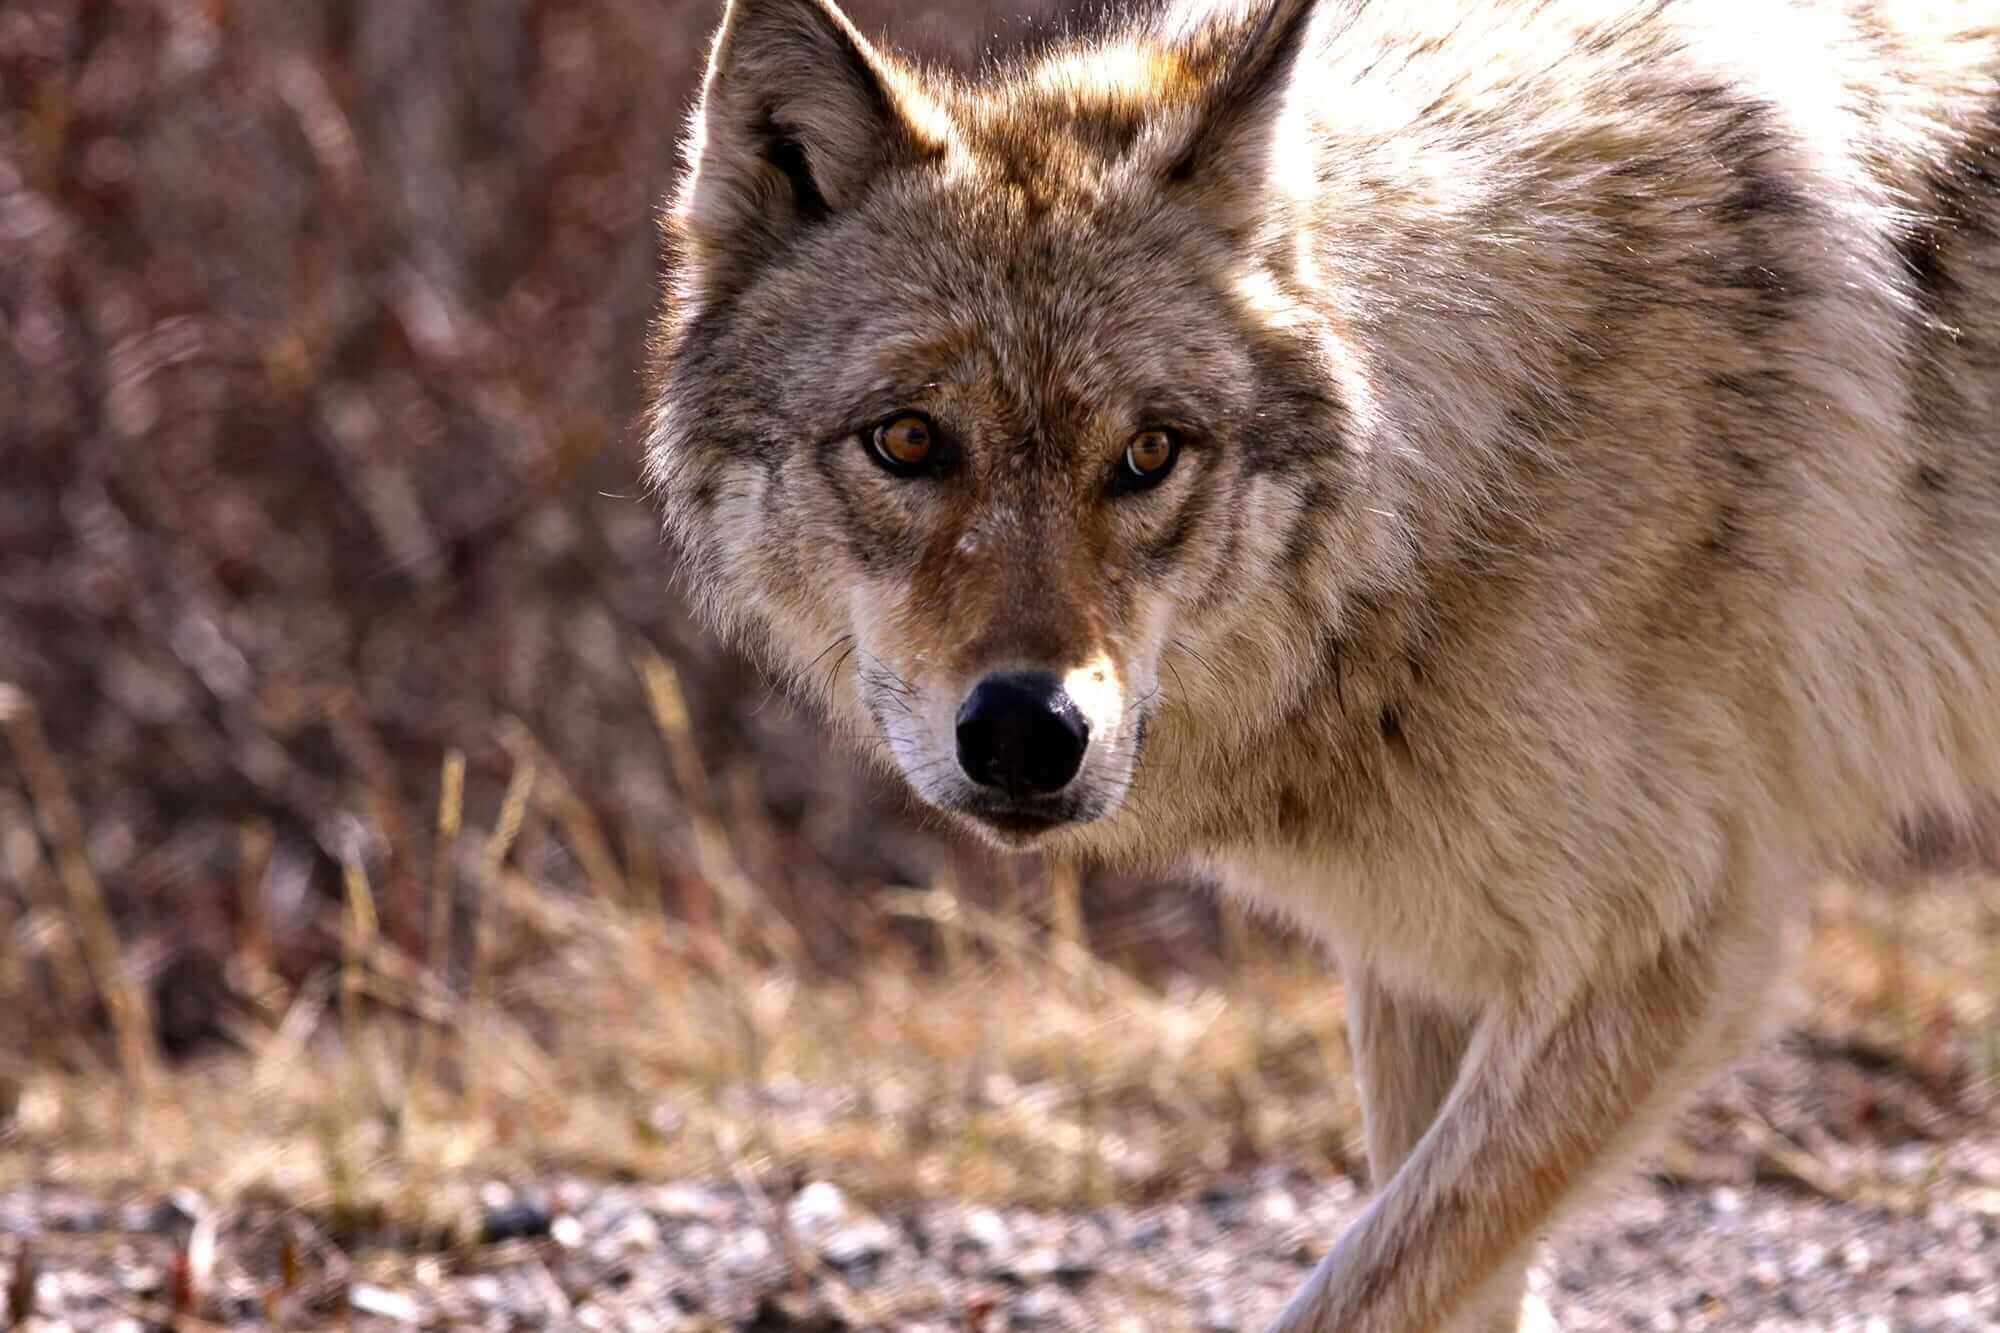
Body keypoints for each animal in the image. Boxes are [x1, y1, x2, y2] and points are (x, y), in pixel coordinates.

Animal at [643, 0, 2000, 1327]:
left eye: (1148, 453)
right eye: (909, 439)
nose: (1029, 732)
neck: (1459, 474)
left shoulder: (1657, 958)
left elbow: (1361, 1292)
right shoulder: (1423, 961)